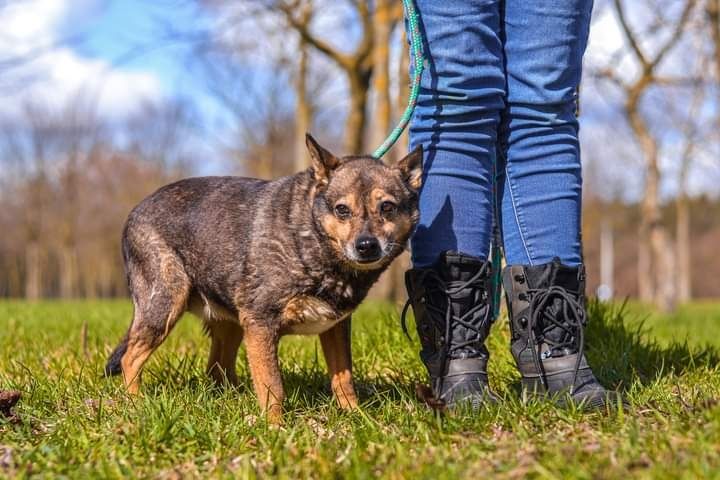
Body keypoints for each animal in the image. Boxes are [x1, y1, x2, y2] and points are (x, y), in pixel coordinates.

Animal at [105, 135, 422, 420]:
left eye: (387, 207)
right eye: (342, 210)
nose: (366, 246)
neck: (309, 236)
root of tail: (135, 210)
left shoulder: (335, 327)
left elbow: (343, 378)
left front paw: (357, 417)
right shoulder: (261, 323)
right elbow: (273, 386)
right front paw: (276, 427)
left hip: (230, 321)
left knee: (217, 367)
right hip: (166, 304)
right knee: (130, 358)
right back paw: (135, 404)